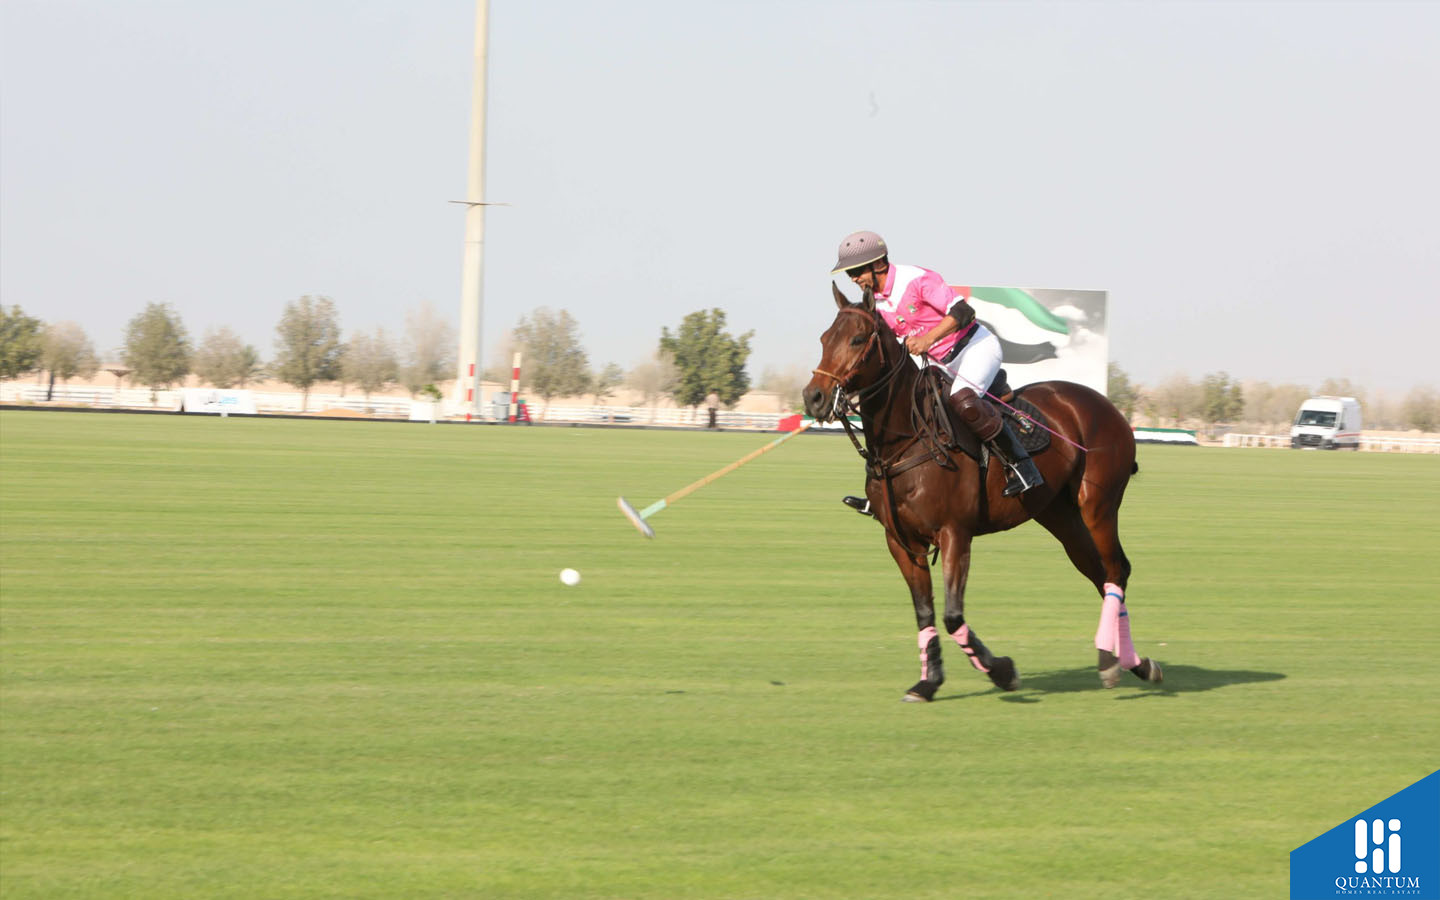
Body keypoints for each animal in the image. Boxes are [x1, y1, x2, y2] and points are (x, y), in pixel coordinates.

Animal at [806, 283, 1163, 699]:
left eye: (858, 339)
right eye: (824, 338)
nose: (813, 397)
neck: (906, 440)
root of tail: (1108, 407)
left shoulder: (954, 533)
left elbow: (952, 614)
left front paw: (1002, 671)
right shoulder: (901, 541)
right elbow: (924, 612)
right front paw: (928, 682)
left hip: (1098, 505)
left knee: (1117, 570)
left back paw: (1116, 662)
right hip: (1058, 514)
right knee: (1101, 572)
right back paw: (1130, 662)